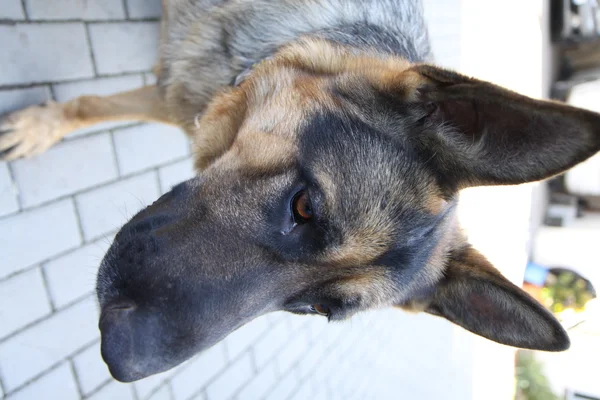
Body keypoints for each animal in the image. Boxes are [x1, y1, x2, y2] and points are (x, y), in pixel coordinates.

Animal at [2, 0, 596, 382]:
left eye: (312, 308)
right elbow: (88, 105)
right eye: (304, 206)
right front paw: (42, 125)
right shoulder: (175, 91)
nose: (120, 358)